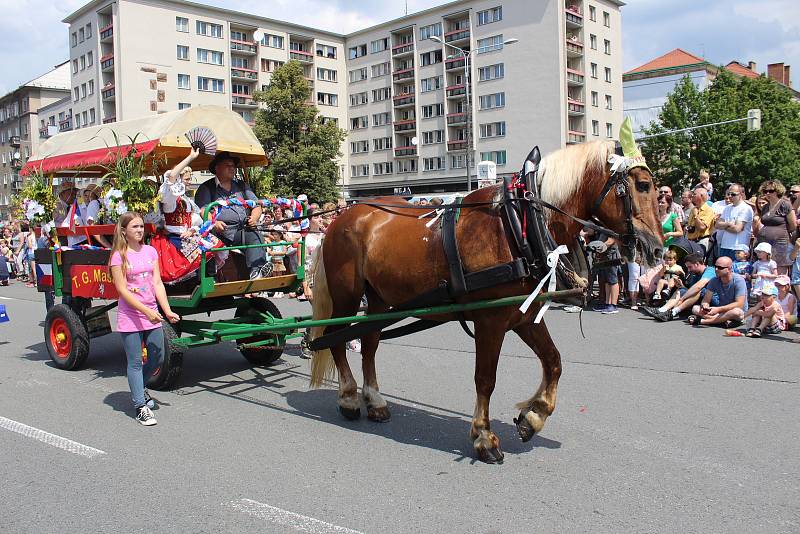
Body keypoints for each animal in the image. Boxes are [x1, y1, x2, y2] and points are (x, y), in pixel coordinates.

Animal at [306, 141, 664, 464]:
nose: (658, 250)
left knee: (369, 342)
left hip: (380, 298)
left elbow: (554, 361)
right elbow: (485, 379)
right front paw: (484, 437)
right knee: (334, 340)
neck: (518, 225)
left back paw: (375, 400)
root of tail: (340, 218)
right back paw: (349, 398)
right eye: (642, 185)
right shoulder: (490, 321)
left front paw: (533, 417)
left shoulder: (524, 316)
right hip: (347, 295)